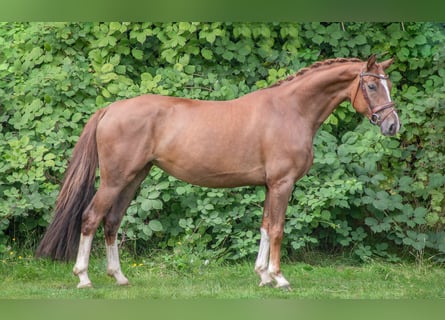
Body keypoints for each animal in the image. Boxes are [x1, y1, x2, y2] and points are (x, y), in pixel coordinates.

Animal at [36, 55, 400, 290]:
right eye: (371, 87)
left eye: (389, 86)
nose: (392, 125)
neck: (291, 110)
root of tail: (110, 108)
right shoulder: (282, 184)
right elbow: (278, 229)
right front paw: (279, 278)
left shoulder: (269, 185)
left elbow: (264, 226)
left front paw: (262, 275)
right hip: (114, 180)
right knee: (91, 218)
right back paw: (84, 278)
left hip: (133, 178)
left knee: (112, 222)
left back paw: (120, 277)